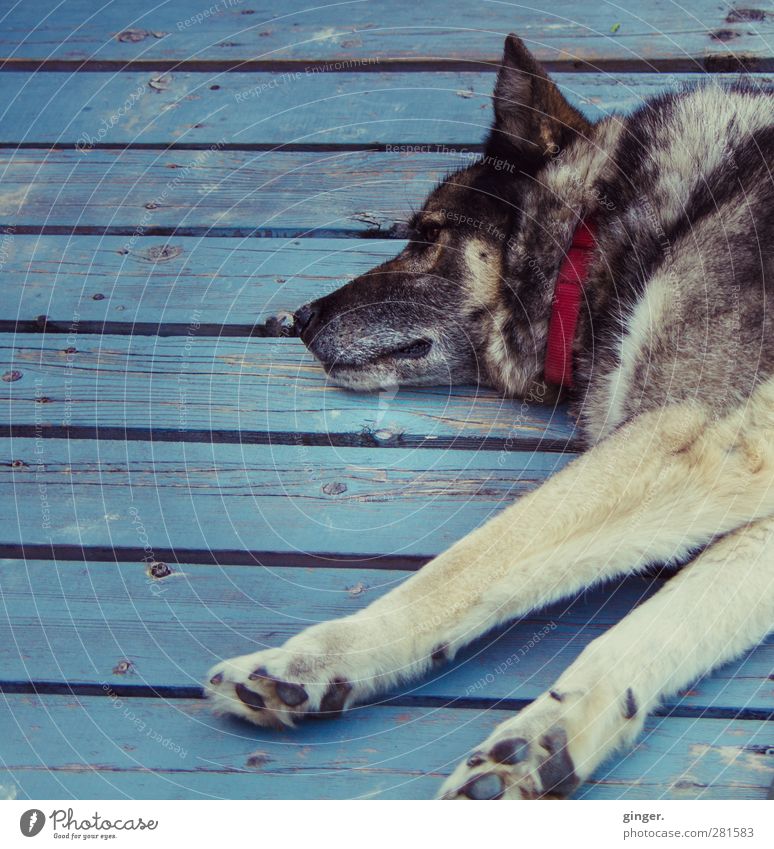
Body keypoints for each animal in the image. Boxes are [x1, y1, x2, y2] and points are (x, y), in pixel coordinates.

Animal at [206, 33, 774, 800]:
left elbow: (467, 565)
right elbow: (653, 629)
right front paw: (547, 739)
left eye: (426, 237)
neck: (604, 230)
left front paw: (318, 658)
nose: (302, 320)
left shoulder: (688, 439)